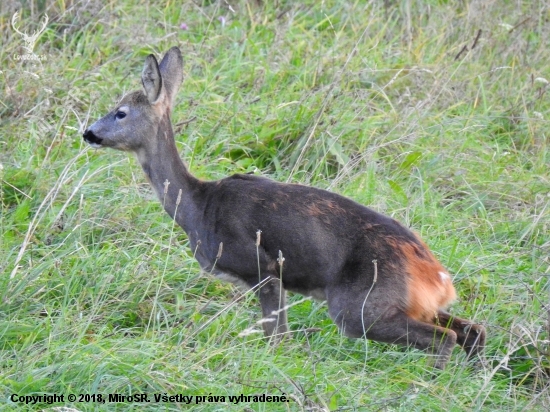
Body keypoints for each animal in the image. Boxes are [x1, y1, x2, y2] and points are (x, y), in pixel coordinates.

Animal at [83, 46, 488, 368]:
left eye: (120, 112)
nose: (88, 133)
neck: (199, 207)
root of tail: (436, 275)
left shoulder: (262, 266)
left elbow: (276, 337)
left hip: (360, 307)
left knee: (446, 338)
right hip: (417, 305)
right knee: (473, 330)